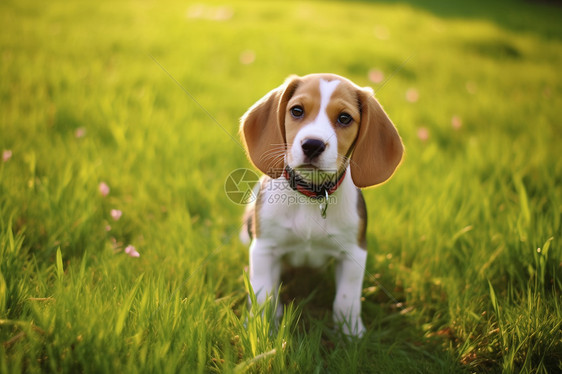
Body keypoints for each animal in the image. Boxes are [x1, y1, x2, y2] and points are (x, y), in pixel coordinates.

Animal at [238, 72, 400, 336]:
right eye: (297, 111)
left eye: (344, 118)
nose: (312, 144)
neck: (312, 195)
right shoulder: (264, 249)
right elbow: (264, 294)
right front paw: (261, 327)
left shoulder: (354, 253)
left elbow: (346, 299)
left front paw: (352, 334)